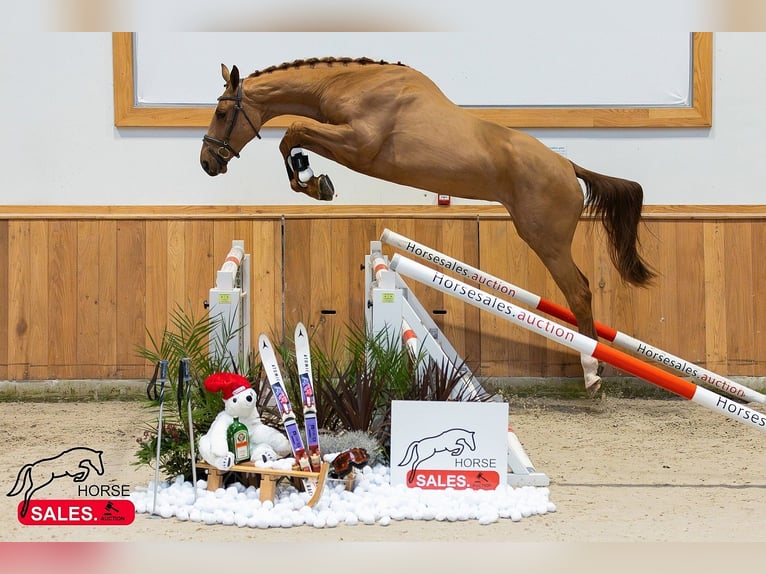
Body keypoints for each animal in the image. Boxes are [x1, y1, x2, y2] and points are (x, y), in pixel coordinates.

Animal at [200, 57, 655, 395]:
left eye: (222, 113)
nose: (207, 163)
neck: (349, 84)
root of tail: (568, 166)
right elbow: (293, 137)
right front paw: (314, 180)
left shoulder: (357, 143)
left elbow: (293, 131)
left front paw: (313, 182)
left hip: (546, 239)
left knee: (579, 291)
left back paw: (592, 374)